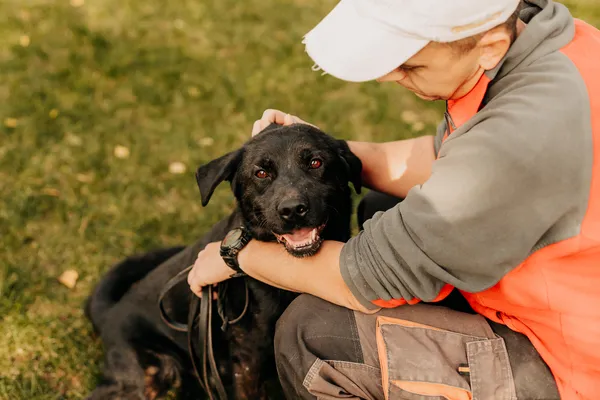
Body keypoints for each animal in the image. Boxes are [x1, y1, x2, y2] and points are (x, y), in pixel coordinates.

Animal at [85, 123, 360, 398]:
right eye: (261, 173)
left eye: (315, 162)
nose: (292, 210)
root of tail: (109, 313)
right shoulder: (249, 359)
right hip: (150, 375)